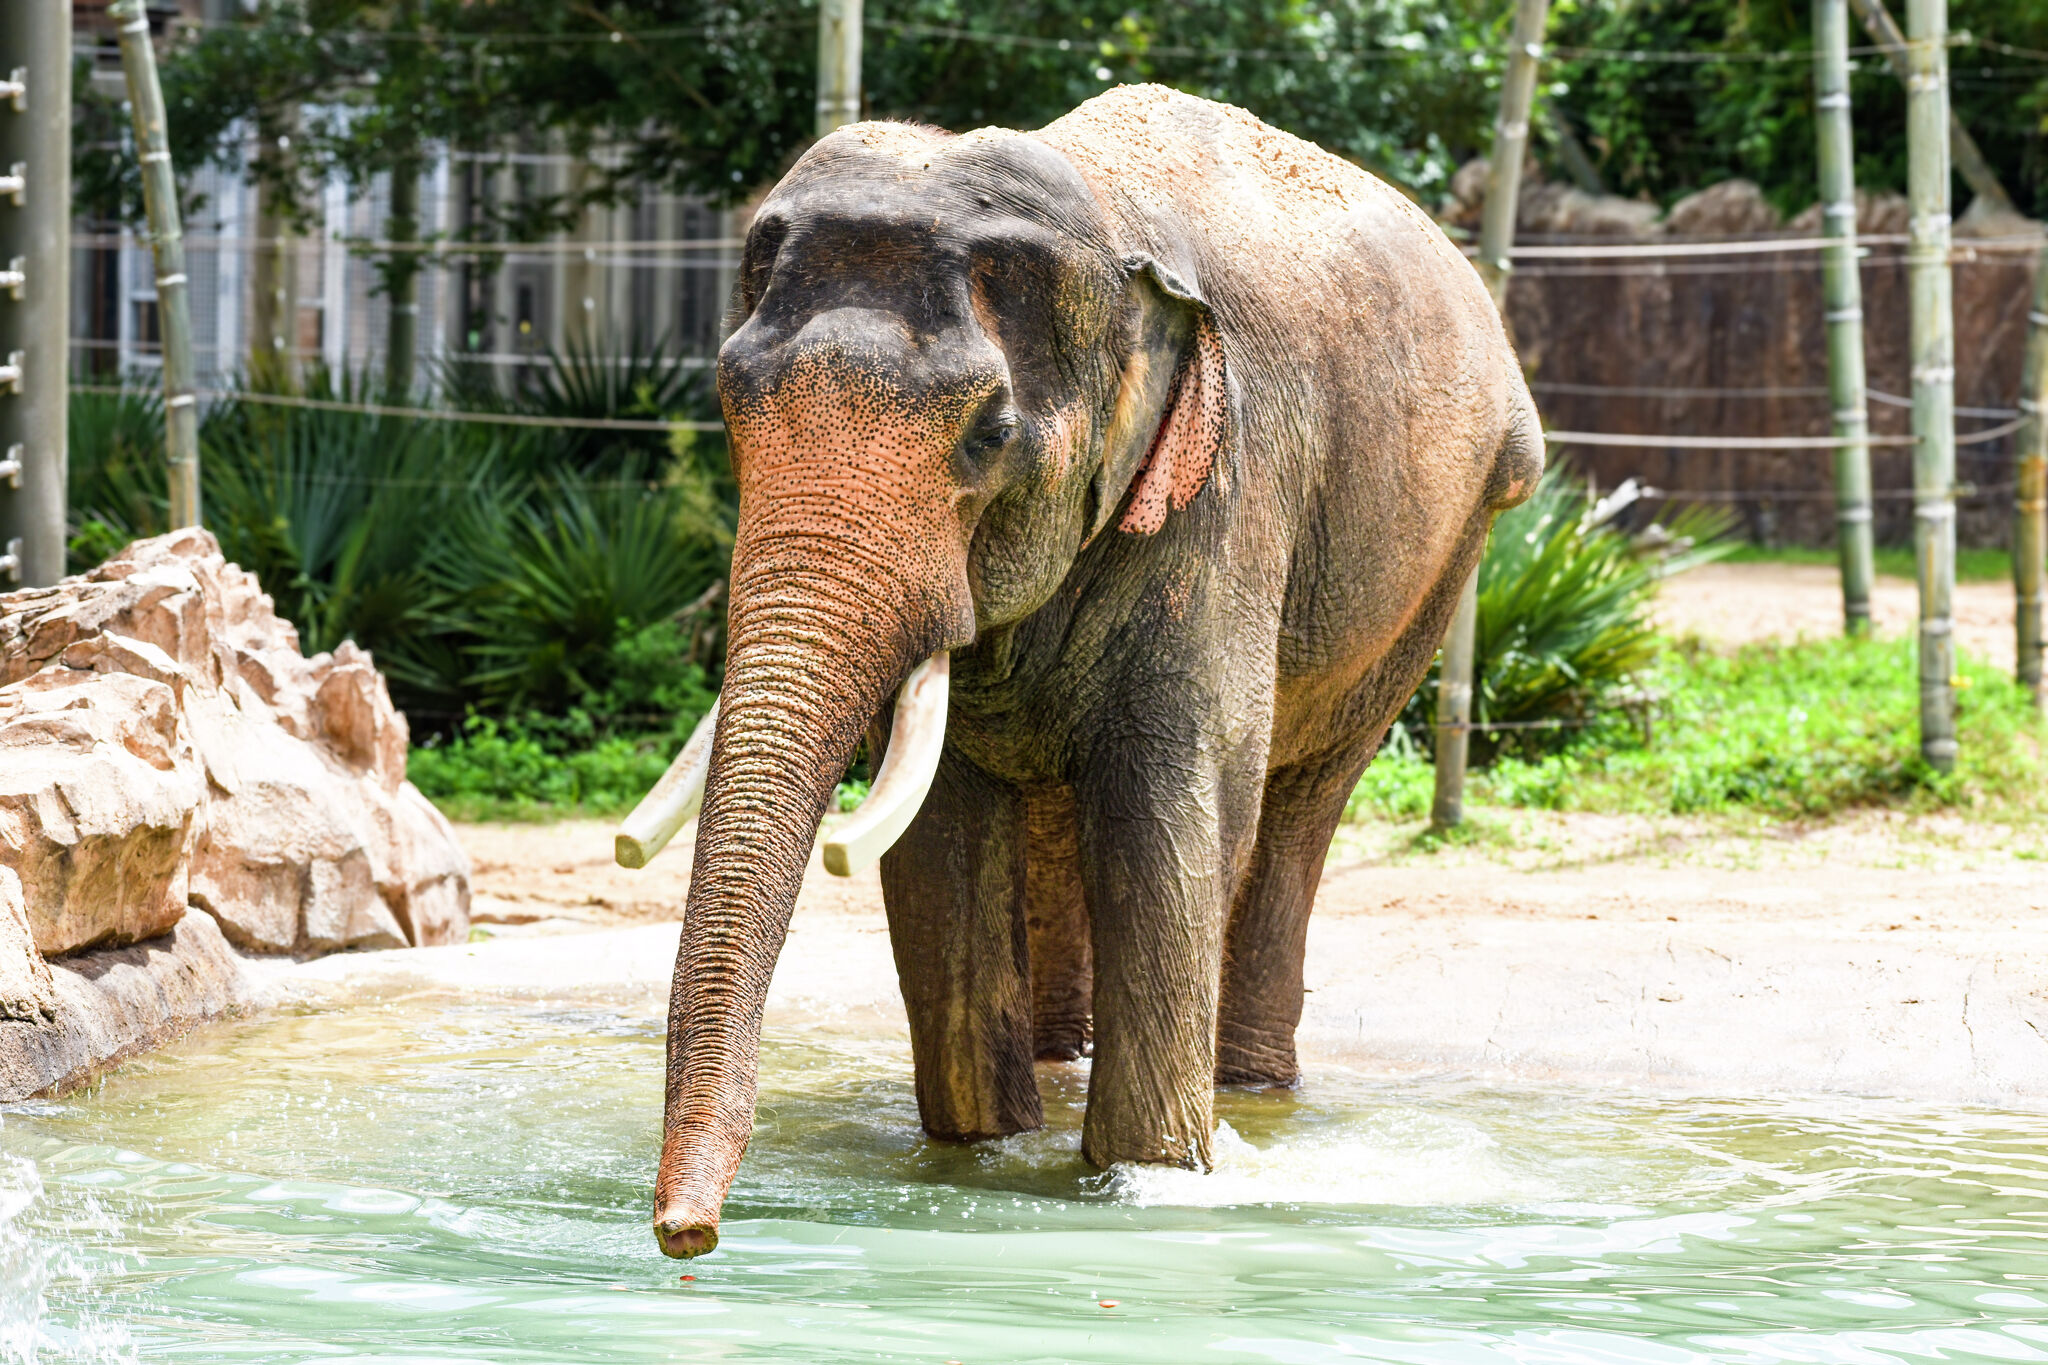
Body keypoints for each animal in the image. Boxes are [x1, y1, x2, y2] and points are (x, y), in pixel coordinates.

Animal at [639, 84, 1543, 1259]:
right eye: (730, 404)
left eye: (986, 435)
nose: (685, 1236)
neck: (1112, 233)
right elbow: (937, 840)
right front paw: (976, 1155)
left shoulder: (1227, 498)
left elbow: (1173, 814)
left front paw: (1147, 1178)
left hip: (1443, 557)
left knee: (1302, 803)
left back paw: (1252, 1093)